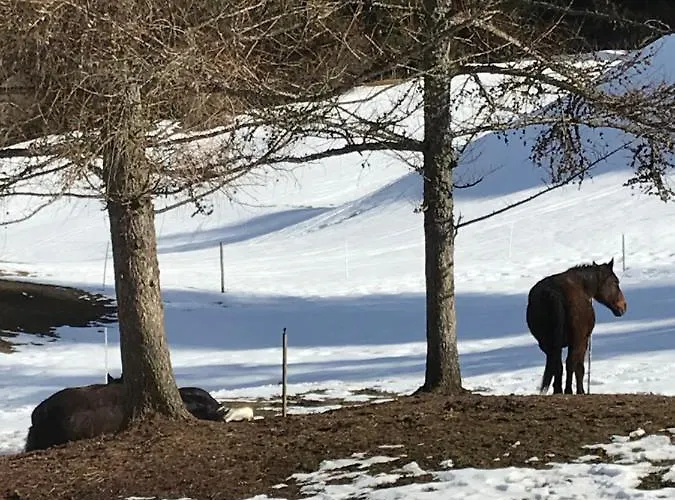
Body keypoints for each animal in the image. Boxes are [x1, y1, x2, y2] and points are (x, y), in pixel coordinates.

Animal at [526, 258, 627, 395]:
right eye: (616, 282)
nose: (623, 306)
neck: (583, 285)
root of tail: (554, 293)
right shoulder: (583, 341)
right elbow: (579, 367)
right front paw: (580, 391)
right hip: (576, 341)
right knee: (570, 363)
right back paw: (568, 390)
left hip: (546, 344)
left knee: (557, 364)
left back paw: (558, 390)